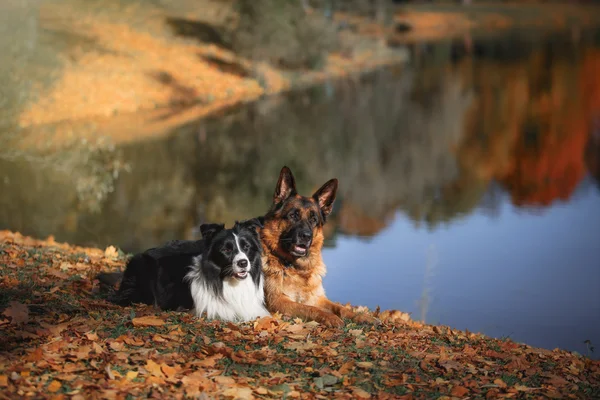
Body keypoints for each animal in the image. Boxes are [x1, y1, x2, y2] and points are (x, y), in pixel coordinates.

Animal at [260, 167, 378, 326]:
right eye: (293, 215)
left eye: (314, 219)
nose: (306, 236)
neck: (297, 269)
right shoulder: (278, 301)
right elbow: (309, 308)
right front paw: (331, 317)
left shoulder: (318, 298)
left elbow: (340, 308)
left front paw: (361, 317)